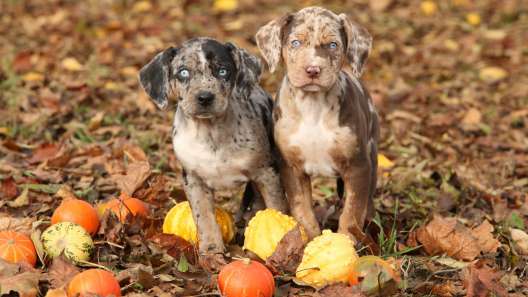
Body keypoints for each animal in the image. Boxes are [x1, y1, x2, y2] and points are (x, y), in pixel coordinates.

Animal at [256, 6, 378, 239]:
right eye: (295, 43)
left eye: (333, 45)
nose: (313, 70)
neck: (313, 107)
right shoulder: (291, 167)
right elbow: (302, 209)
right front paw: (308, 239)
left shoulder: (358, 165)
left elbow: (352, 211)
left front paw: (346, 241)